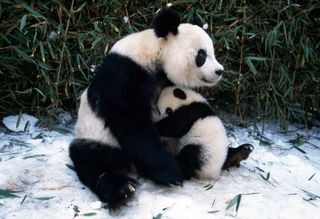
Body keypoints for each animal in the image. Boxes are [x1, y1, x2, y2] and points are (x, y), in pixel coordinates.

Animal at [69, 7, 225, 209]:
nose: (219, 71)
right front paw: (171, 173)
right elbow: (132, 123)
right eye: (202, 55)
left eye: (212, 52)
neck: (155, 51)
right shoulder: (124, 73)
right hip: (96, 137)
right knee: (95, 160)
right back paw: (122, 189)